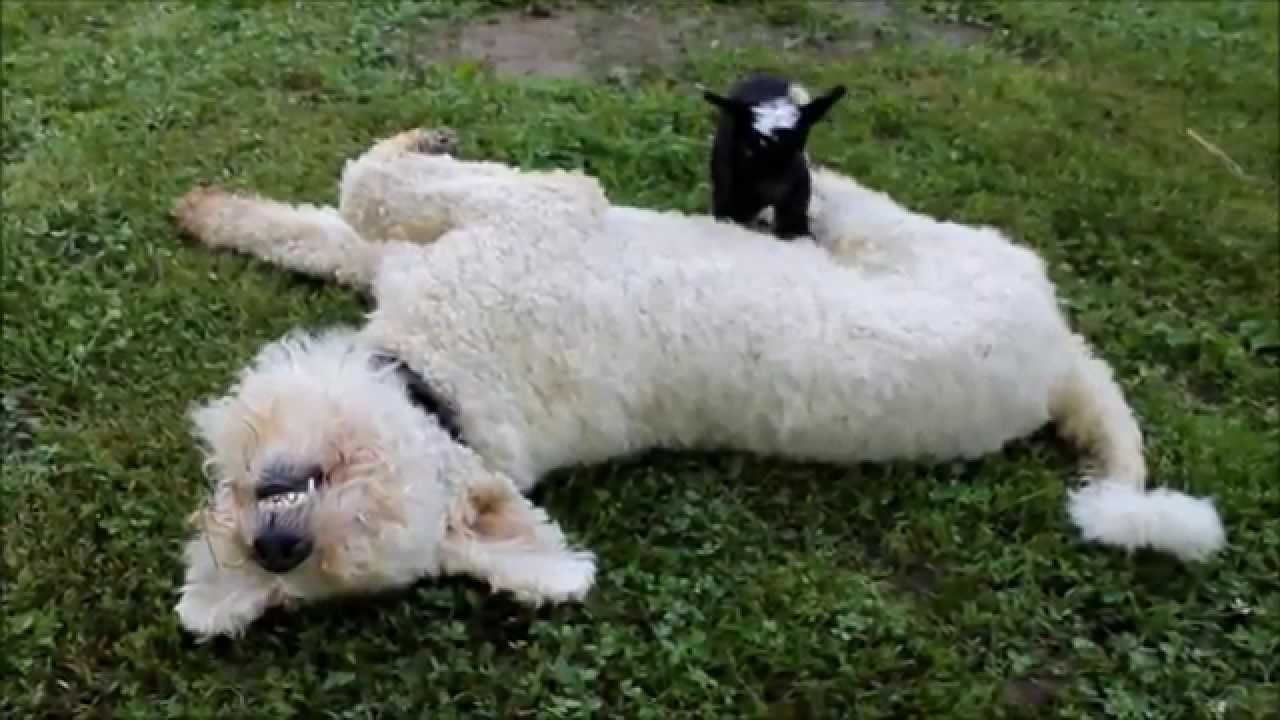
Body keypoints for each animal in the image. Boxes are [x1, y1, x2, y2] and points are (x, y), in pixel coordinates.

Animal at [167, 126, 1218, 635]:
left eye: (365, 521)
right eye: (291, 579)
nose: (275, 546)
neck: (449, 387)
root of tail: (1062, 364)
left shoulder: (541, 209)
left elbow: (368, 189)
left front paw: (415, 141)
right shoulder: (423, 260)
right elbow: (329, 226)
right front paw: (218, 212)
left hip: (919, 241)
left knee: (840, 195)